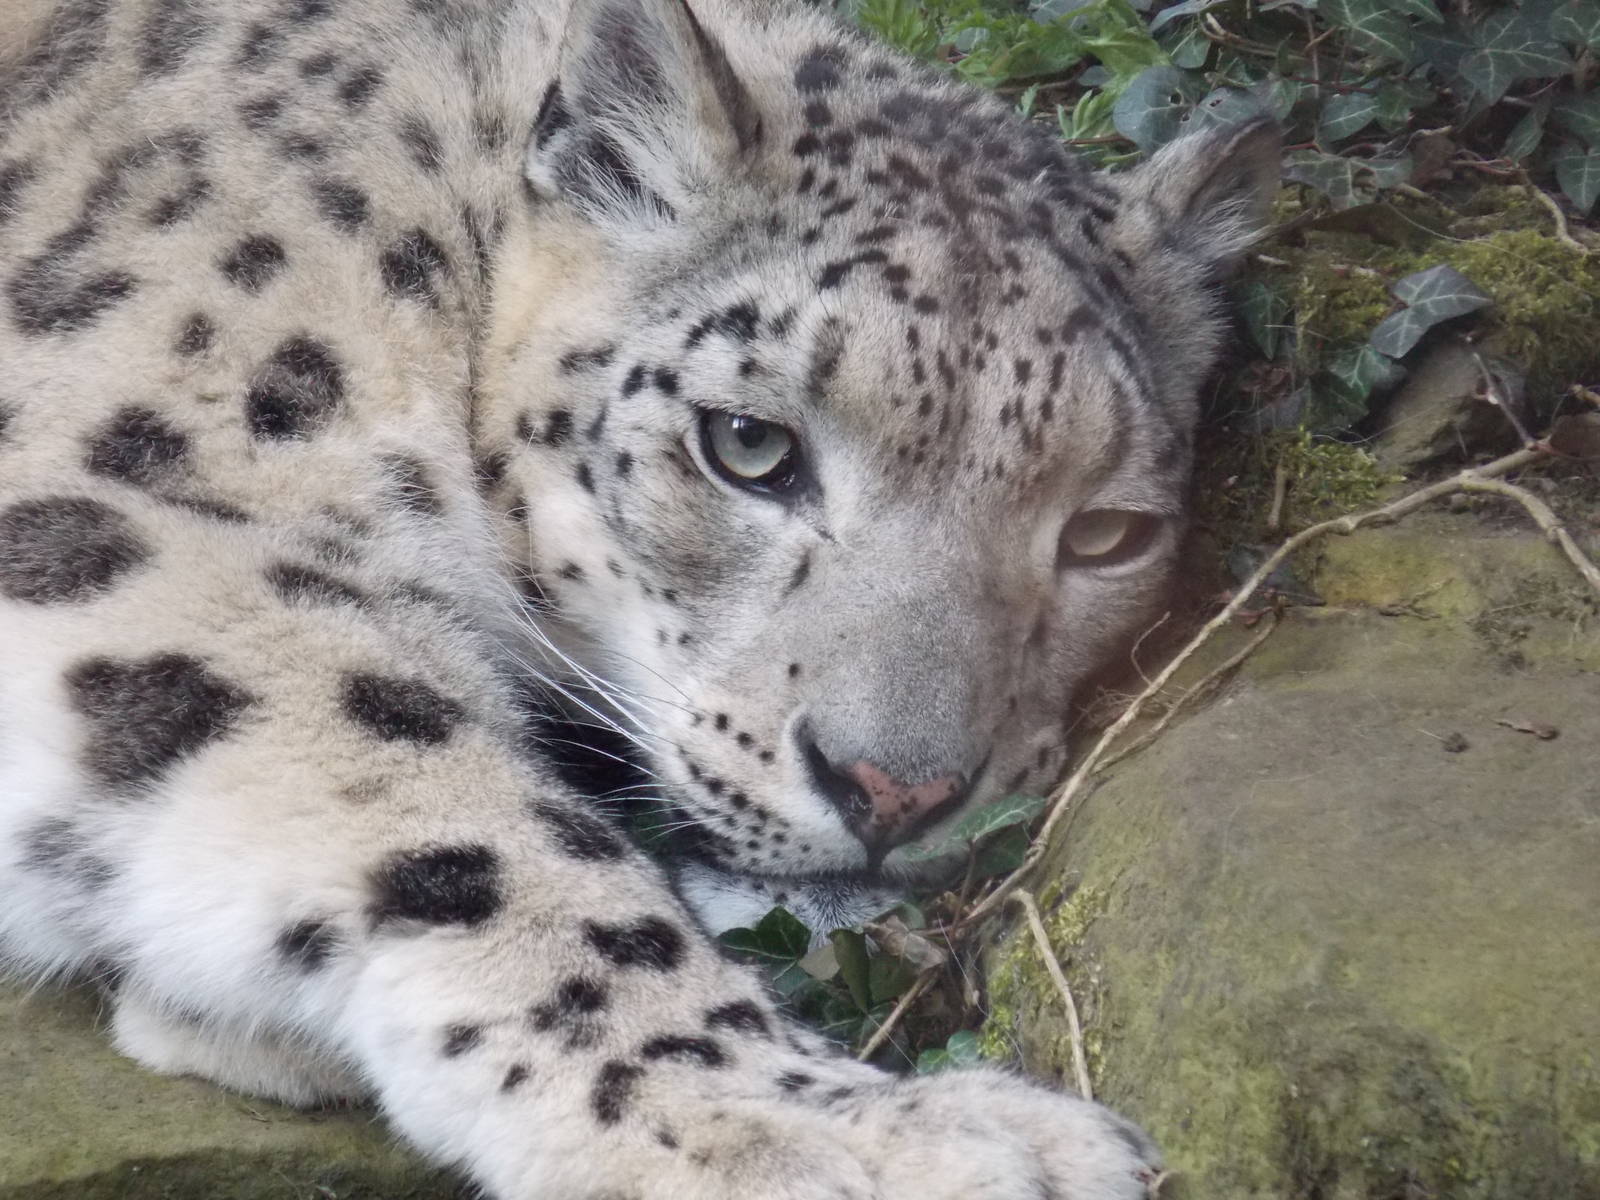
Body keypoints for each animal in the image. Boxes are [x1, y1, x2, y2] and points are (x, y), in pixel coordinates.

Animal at [0, 0, 1279, 1195]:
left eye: (1105, 534)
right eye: (749, 444)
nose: (893, 791)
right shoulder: (129, 503)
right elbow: (473, 822)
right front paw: (842, 1136)